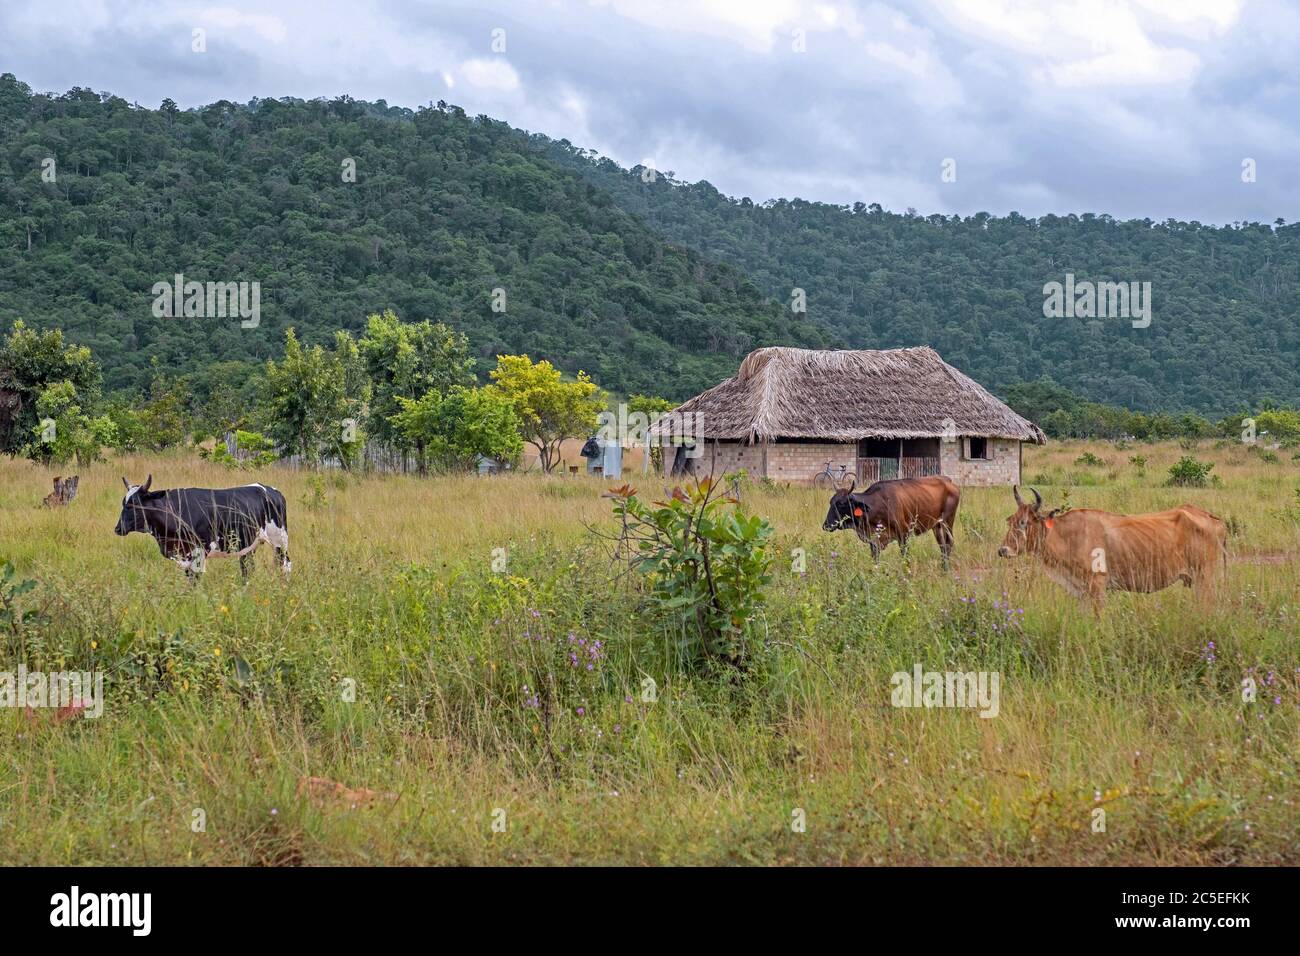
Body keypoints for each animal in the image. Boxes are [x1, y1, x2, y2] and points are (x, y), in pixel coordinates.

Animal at [114, 475, 291, 578]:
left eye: (133, 505)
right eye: (123, 503)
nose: (117, 529)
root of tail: (271, 490)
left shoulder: (198, 551)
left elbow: (195, 580)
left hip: (280, 540)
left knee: (286, 564)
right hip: (248, 545)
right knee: (247, 569)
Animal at [823, 475, 961, 567]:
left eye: (842, 503)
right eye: (830, 502)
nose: (826, 525)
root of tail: (947, 480)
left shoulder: (904, 534)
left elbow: (905, 556)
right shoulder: (874, 541)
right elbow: (875, 559)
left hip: (948, 521)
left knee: (949, 543)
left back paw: (945, 570)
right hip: (937, 525)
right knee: (942, 546)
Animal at [996, 485, 1227, 613]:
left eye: (1025, 523)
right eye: (1011, 520)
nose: (1003, 550)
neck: (1068, 535)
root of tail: (1211, 517)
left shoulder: (1098, 588)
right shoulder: (1082, 592)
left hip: (1205, 579)